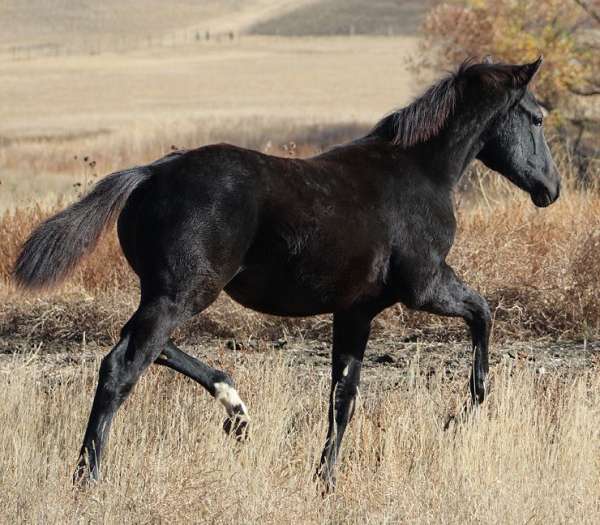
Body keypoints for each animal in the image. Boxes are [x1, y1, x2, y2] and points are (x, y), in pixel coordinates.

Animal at [14, 56, 556, 488]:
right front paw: (461, 415)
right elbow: (483, 312)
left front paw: (325, 481)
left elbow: (343, 396)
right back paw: (87, 479)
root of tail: (149, 173)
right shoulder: (424, 286)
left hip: (172, 292)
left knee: (146, 347)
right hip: (180, 294)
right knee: (122, 365)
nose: (551, 188)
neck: (421, 173)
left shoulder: (356, 309)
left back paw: (236, 410)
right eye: (536, 117)